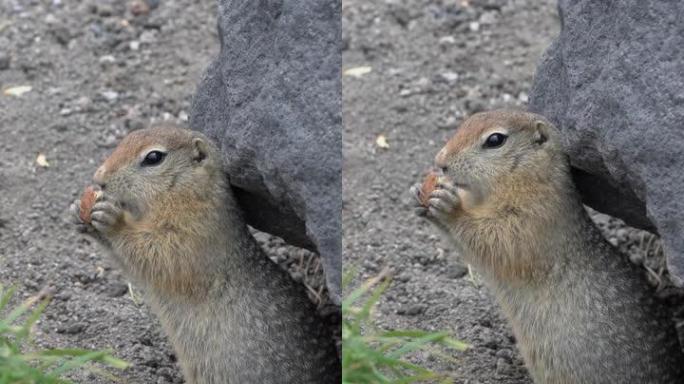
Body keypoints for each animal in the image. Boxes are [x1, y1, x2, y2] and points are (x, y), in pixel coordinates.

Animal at [68, 124, 340, 382]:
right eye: (127, 137)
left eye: (154, 157)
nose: (99, 178)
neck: (183, 192)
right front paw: (78, 212)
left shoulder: (196, 229)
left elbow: (160, 253)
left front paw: (112, 219)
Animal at [412, 109, 684, 382]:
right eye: (469, 120)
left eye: (495, 140)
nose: (440, 161)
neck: (523, 178)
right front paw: (420, 193)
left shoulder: (536, 215)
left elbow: (499, 240)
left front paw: (449, 206)